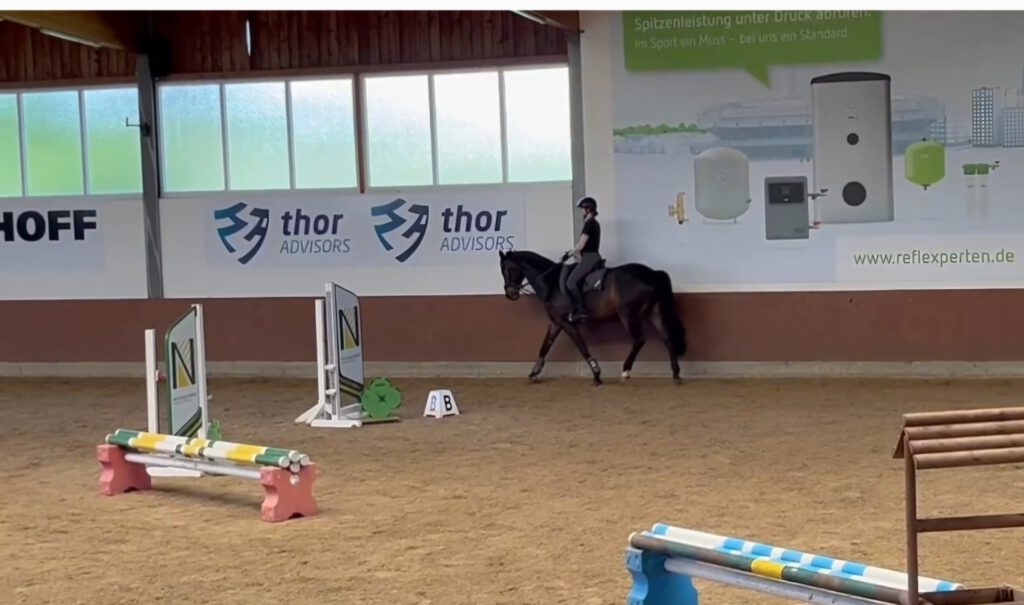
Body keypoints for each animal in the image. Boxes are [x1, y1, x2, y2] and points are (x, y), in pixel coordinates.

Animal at [498, 249, 687, 386]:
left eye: (508, 269)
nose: (510, 294)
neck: (551, 283)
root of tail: (653, 273)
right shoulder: (556, 322)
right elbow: (545, 346)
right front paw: (533, 373)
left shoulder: (566, 322)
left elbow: (581, 346)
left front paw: (596, 375)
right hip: (654, 312)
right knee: (667, 338)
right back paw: (676, 374)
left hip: (628, 314)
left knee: (639, 340)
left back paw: (625, 372)